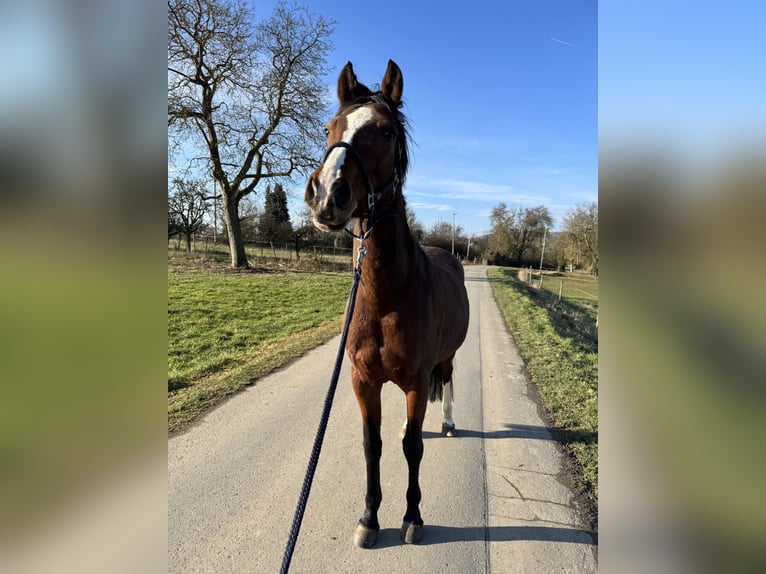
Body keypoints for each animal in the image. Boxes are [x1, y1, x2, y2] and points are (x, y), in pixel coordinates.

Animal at [304, 60, 469, 548]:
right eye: (330, 127)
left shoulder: (416, 379)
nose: (327, 193)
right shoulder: (362, 381)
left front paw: (412, 516)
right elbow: (372, 445)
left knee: (447, 382)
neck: (385, 295)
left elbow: (413, 448)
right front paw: (369, 517)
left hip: (446, 358)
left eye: (387, 132)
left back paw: (448, 421)